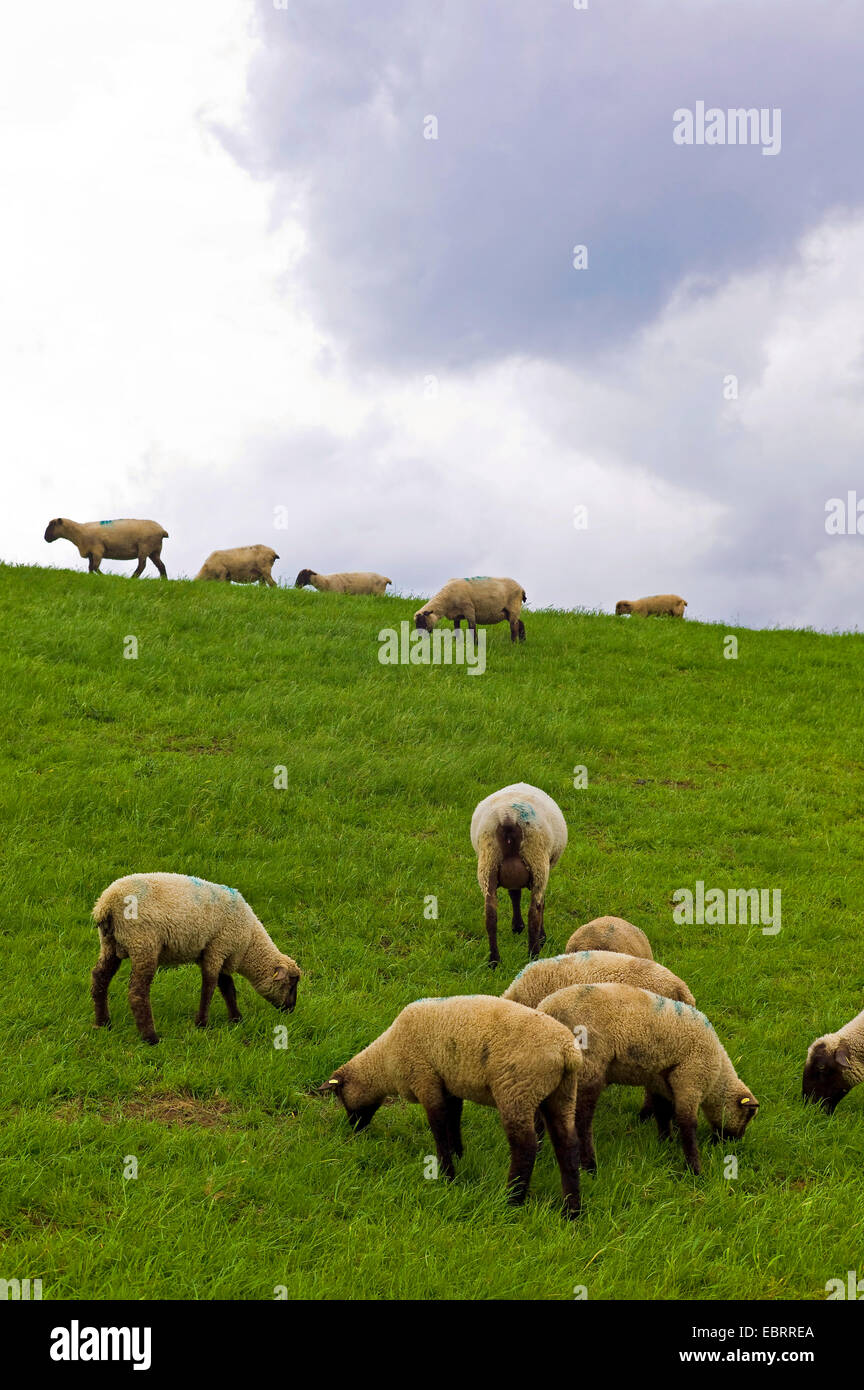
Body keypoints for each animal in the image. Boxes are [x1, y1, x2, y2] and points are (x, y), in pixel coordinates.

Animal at [90, 872, 301, 1044]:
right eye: (291, 984)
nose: (291, 1010)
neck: (249, 942)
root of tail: (105, 904)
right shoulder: (218, 948)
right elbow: (209, 987)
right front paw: (202, 1024)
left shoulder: (217, 952)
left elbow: (228, 989)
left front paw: (236, 1019)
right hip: (143, 943)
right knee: (137, 992)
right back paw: (151, 1038)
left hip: (110, 944)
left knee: (100, 978)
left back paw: (103, 1023)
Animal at [319, 994, 582, 1217]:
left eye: (341, 1098)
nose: (355, 1129)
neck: (385, 1061)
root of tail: (566, 1052)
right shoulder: (449, 1084)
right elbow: (453, 1121)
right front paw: (459, 1155)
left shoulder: (425, 1079)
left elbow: (438, 1127)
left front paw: (447, 1174)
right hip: (562, 1094)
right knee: (567, 1145)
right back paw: (571, 1211)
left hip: (517, 1090)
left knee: (525, 1146)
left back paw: (512, 1199)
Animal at [470, 783, 567, 967]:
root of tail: (508, 815)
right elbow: (540, 904)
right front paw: (540, 936)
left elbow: (514, 894)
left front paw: (516, 927)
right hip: (537, 861)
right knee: (534, 913)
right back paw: (534, 955)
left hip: (488, 863)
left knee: (491, 915)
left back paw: (494, 961)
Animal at [536, 983, 758, 1174]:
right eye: (748, 1116)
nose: (733, 1143)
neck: (717, 1076)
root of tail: (547, 1007)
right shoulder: (691, 1079)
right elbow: (688, 1124)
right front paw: (694, 1169)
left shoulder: (660, 1082)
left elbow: (663, 1113)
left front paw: (666, 1143)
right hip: (589, 1067)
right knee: (582, 1121)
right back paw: (590, 1166)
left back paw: (539, 1150)